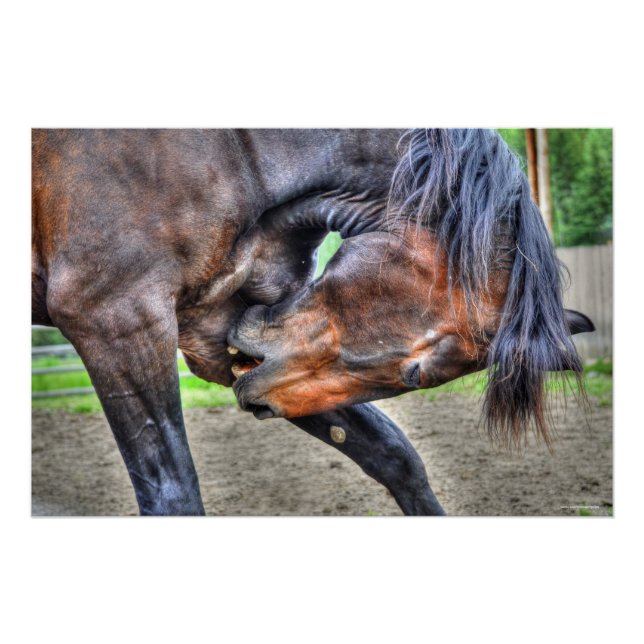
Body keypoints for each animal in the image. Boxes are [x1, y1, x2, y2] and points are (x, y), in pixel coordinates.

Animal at [32, 128, 593, 516]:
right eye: (417, 374)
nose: (259, 398)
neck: (237, 154)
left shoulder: (227, 337)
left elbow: (395, 456)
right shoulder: (117, 321)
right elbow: (172, 493)